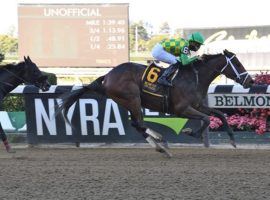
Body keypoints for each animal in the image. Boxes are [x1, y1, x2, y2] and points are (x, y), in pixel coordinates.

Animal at [58, 49, 254, 157]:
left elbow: (220, 114)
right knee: (138, 123)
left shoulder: (198, 105)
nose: (250, 81)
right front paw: (191, 132)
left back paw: (160, 145)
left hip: (128, 101)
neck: (194, 77)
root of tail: (107, 76)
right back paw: (160, 142)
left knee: (136, 124)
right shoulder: (182, 109)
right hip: (132, 98)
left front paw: (232, 140)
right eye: (237, 63)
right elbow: (206, 120)